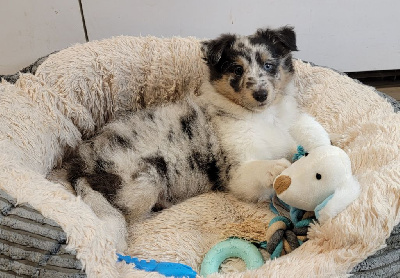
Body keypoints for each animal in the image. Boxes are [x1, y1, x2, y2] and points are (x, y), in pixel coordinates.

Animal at [66, 27, 328, 223]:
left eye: (269, 65)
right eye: (237, 69)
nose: (261, 95)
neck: (263, 116)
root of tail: (79, 166)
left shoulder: (286, 126)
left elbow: (307, 128)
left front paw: (324, 147)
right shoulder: (236, 172)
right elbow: (259, 168)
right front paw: (278, 167)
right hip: (144, 180)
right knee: (127, 212)